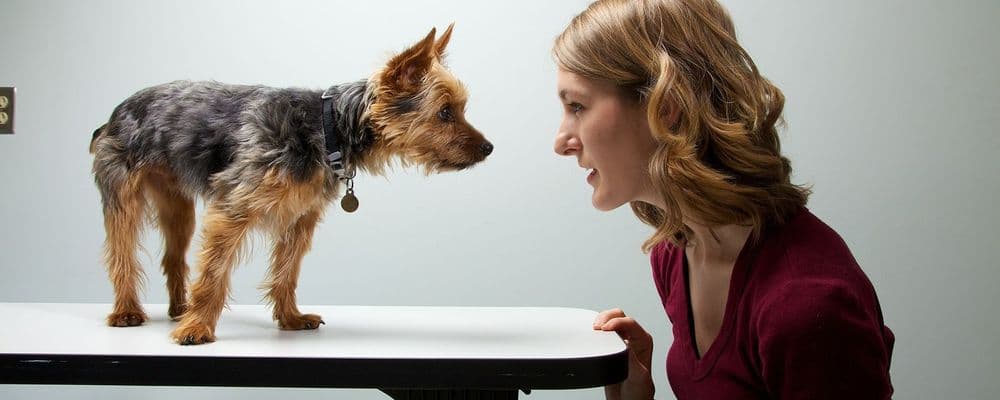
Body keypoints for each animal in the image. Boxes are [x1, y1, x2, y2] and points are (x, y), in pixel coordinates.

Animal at [89, 24, 492, 344]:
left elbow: (287, 270)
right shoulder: (232, 210)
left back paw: (179, 308)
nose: (489, 148)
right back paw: (128, 311)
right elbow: (214, 273)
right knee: (121, 252)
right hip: (124, 195)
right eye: (445, 112)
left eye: (459, 109)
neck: (328, 128)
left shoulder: (301, 217)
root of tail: (115, 113)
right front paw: (198, 328)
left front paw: (289, 318)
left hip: (177, 206)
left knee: (173, 255)